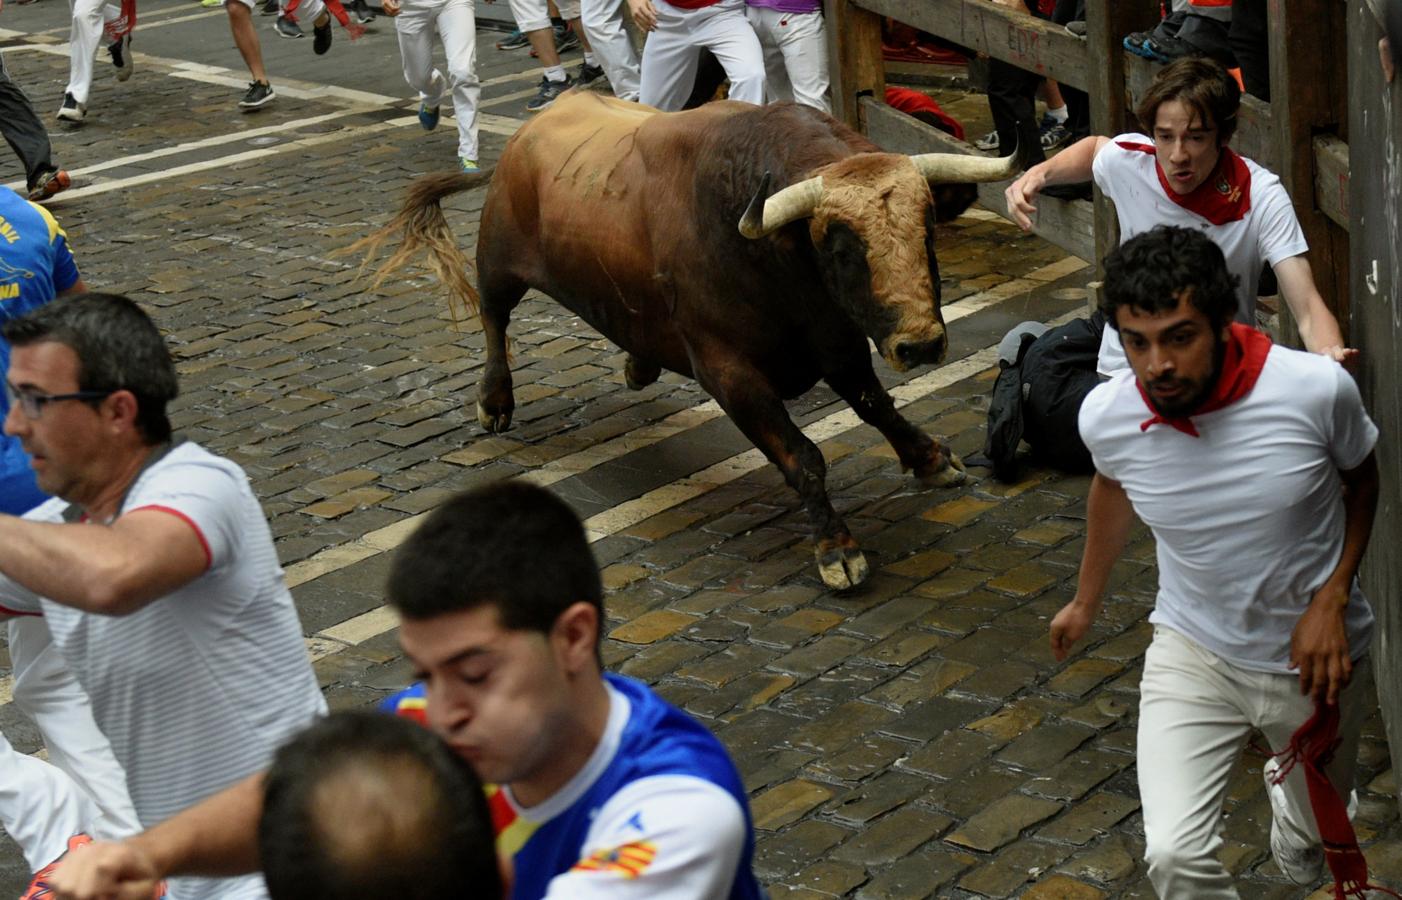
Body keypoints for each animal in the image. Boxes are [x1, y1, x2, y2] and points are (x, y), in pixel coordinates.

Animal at [361, 92, 1020, 588]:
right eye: (839, 247)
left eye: (926, 228)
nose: (920, 344)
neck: (770, 255)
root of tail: (531, 130)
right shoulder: (729, 372)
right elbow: (802, 455)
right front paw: (836, 548)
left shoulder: (837, 339)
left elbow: (876, 405)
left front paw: (930, 459)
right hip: (497, 262)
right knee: (494, 321)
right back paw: (495, 400)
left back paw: (639, 364)